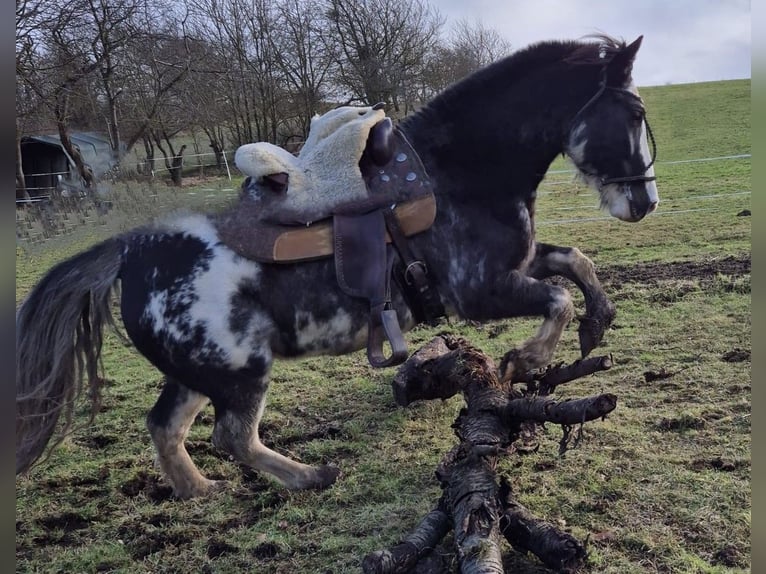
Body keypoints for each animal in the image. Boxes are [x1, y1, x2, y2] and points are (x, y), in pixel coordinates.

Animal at [15, 35, 656, 500]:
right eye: (631, 113)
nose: (645, 202)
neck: (461, 172)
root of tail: (131, 252)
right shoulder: (480, 291)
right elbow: (557, 298)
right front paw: (525, 359)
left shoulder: (514, 265)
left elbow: (575, 263)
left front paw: (598, 321)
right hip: (241, 371)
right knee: (231, 436)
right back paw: (309, 476)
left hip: (199, 374)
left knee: (166, 428)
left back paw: (202, 491)